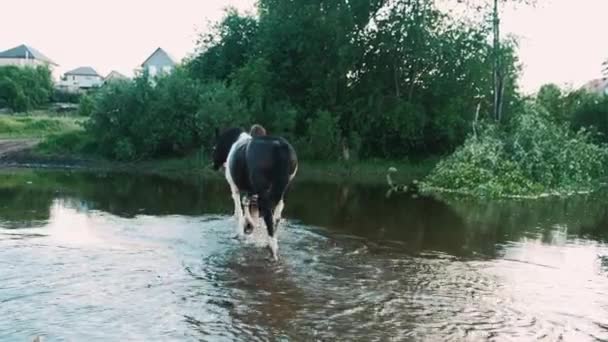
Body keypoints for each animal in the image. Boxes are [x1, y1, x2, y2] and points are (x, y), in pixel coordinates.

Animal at [213, 127, 298, 260]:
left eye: (214, 147)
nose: (214, 166)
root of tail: (279, 146)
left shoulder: (235, 189)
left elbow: (239, 212)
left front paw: (241, 232)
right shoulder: (250, 191)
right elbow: (248, 205)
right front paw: (249, 226)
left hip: (264, 191)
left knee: (268, 215)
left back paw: (272, 249)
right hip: (282, 189)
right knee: (276, 215)